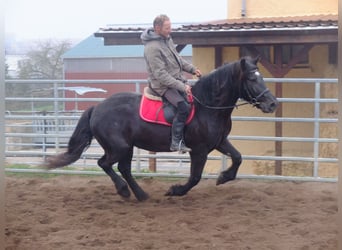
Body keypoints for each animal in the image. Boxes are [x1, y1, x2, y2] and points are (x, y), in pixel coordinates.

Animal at [45, 56, 280, 201]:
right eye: (251, 78)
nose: (272, 104)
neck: (207, 106)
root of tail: (97, 107)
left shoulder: (219, 142)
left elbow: (238, 157)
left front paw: (223, 177)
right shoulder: (199, 150)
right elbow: (195, 177)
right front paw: (175, 190)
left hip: (127, 147)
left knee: (123, 168)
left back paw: (140, 195)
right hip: (119, 147)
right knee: (105, 164)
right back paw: (124, 191)